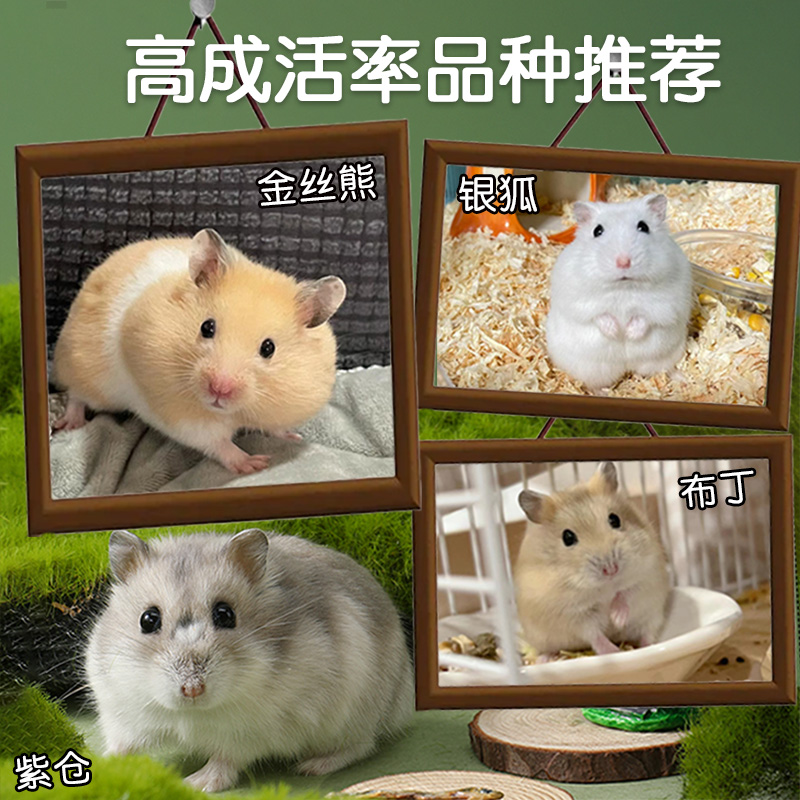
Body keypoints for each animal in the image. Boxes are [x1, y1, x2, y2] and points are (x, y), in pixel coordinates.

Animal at [52, 230, 346, 474]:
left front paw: (293, 436)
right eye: (207, 327)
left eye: (268, 348)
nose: (219, 389)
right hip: (86, 371)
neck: (231, 412)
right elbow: (216, 442)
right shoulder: (180, 415)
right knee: (76, 394)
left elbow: (275, 426)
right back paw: (70, 423)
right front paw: (253, 464)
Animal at [85, 529, 414, 793]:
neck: (191, 713)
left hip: (354, 717)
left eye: (225, 614)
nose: (192, 689)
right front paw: (101, 768)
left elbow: (225, 759)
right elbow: (121, 746)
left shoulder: (251, 731)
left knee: (361, 746)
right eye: (148, 619)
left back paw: (311, 766)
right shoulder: (121, 712)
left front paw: (194, 784)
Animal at [514, 462, 669, 661]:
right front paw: (613, 650)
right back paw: (546, 658)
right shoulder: (571, 614)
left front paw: (617, 620)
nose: (611, 569)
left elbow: (626, 593)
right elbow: (593, 634)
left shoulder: (647, 573)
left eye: (614, 519)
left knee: (647, 633)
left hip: (653, 615)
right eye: (567, 537)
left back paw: (646, 645)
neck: (605, 588)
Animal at [545, 194, 692, 390]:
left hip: (665, 356)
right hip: (591, 369)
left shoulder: (667, 303)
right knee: (592, 384)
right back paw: (602, 392)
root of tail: (628, 367)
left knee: (665, 369)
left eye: (644, 227)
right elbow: (597, 315)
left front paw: (629, 333)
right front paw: (616, 332)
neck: (623, 287)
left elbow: (647, 317)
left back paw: (682, 379)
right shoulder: (578, 301)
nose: (623, 262)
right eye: (597, 231)